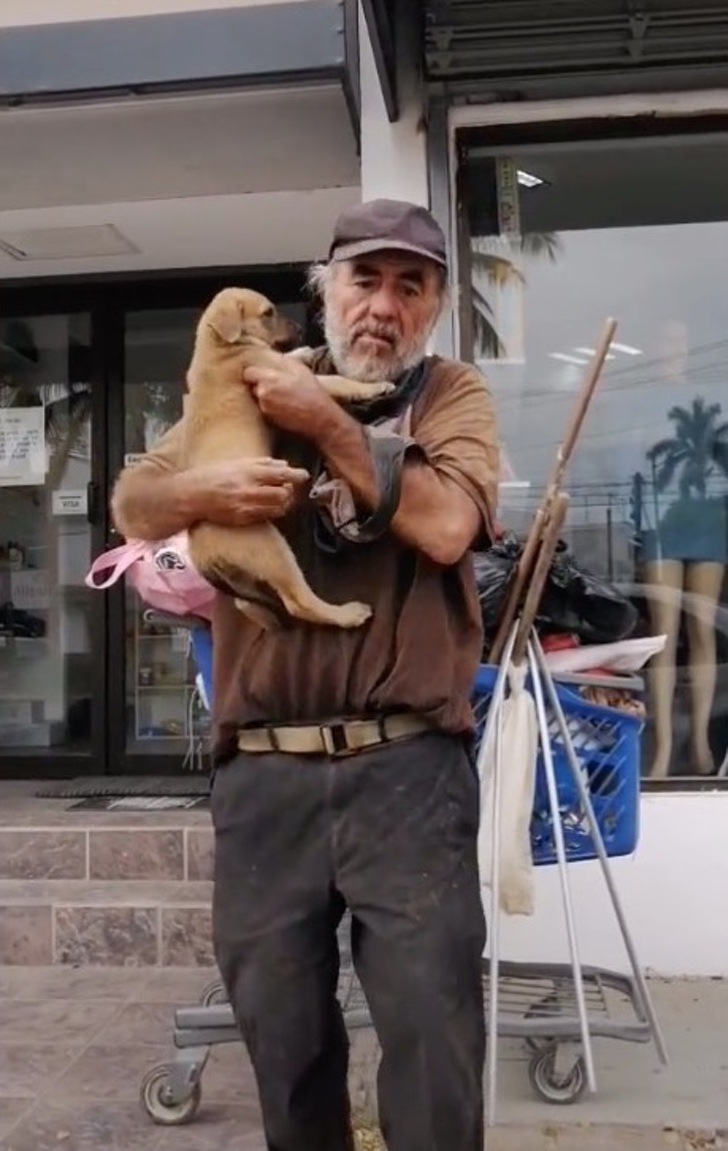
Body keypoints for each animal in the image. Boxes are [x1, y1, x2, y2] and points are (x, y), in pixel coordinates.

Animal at [180, 287, 396, 630]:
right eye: (268, 312)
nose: (299, 329)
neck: (217, 346)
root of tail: (200, 554)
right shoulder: (281, 371)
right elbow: (338, 382)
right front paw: (375, 385)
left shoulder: (274, 364)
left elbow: (290, 358)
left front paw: (304, 352)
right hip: (270, 548)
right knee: (299, 601)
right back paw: (348, 613)